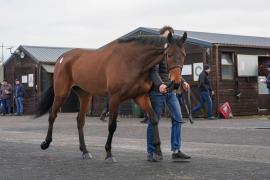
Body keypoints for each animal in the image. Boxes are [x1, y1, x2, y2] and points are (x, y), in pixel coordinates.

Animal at [35, 31, 188, 162]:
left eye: (184, 54)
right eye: (169, 55)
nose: (176, 83)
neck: (131, 60)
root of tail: (62, 58)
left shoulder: (141, 97)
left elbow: (154, 119)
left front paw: (157, 150)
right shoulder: (115, 98)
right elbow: (112, 126)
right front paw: (109, 153)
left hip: (85, 95)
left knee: (80, 121)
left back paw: (85, 151)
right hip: (61, 93)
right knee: (52, 115)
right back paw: (45, 143)